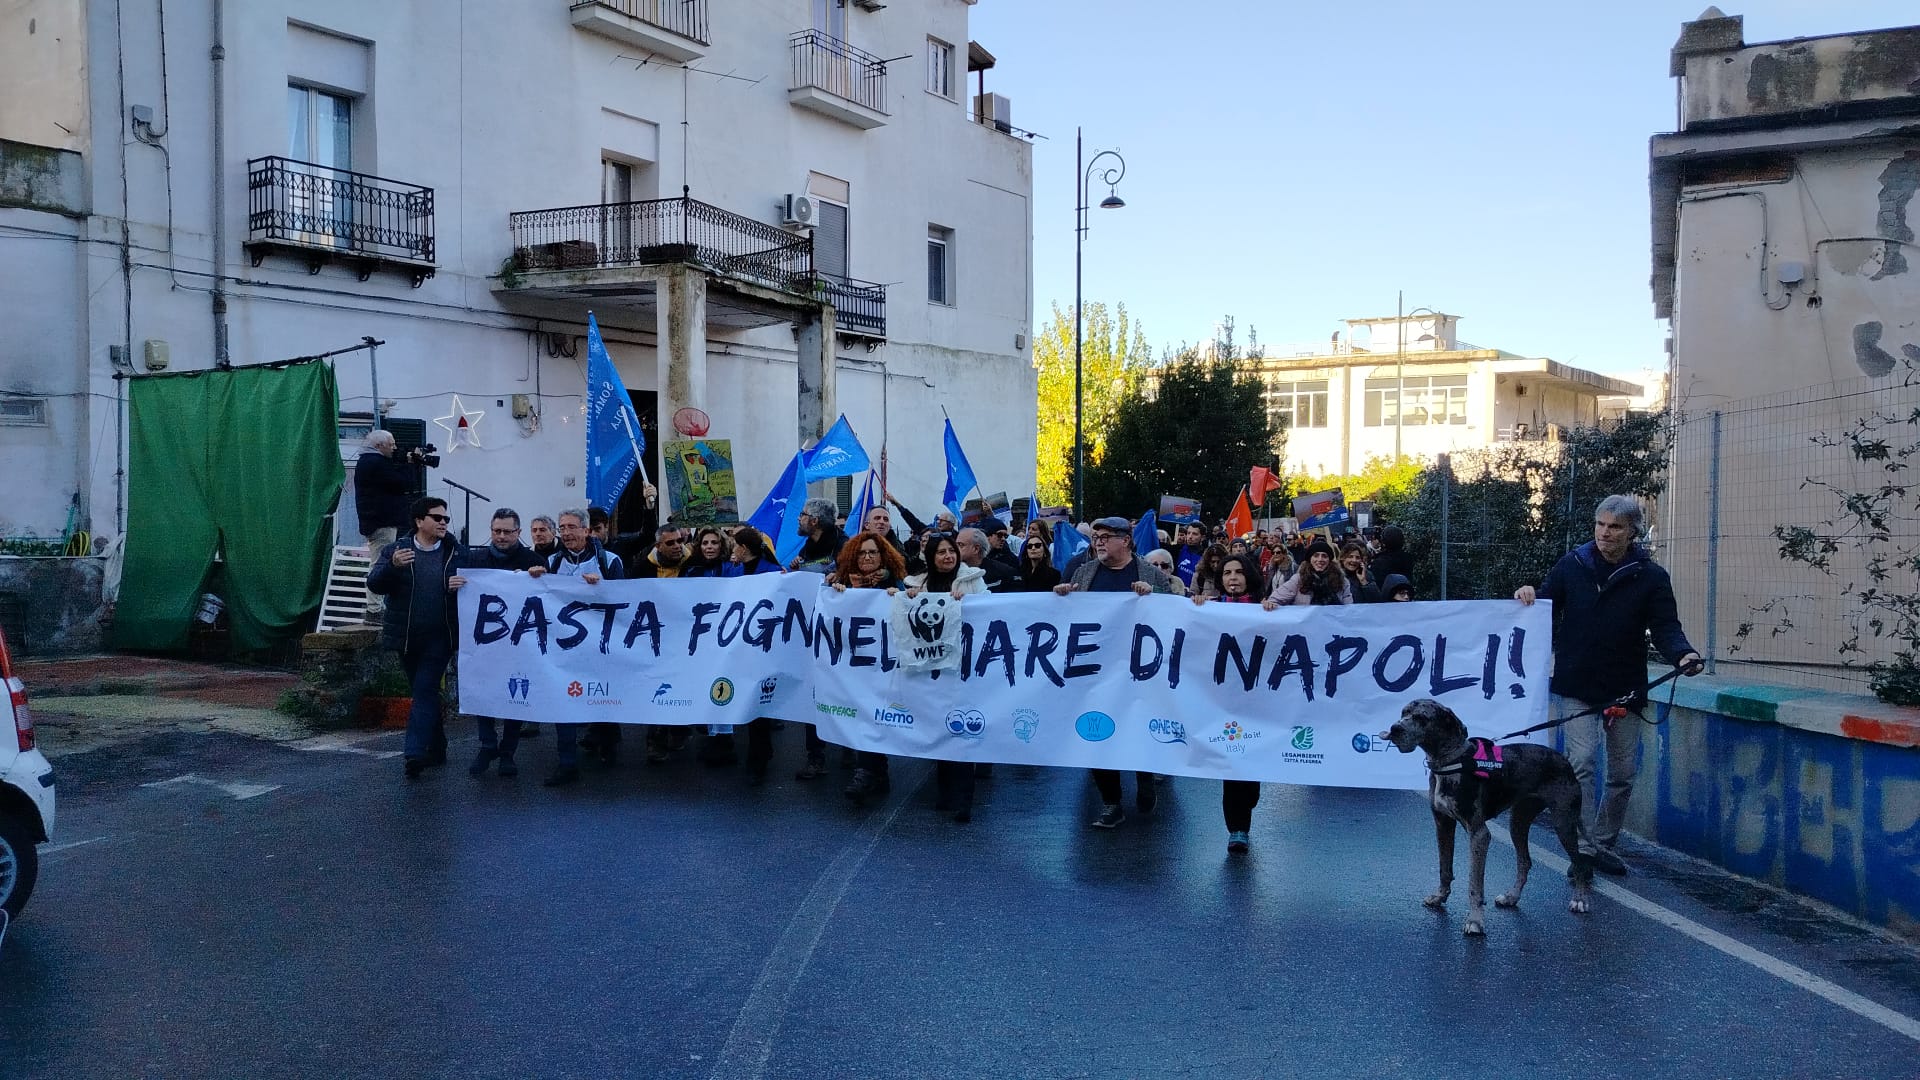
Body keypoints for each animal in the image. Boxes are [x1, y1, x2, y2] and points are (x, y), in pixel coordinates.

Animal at [1374, 699, 1597, 933]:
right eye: (1404, 712)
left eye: (1422, 718)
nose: (1395, 728)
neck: (1450, 761)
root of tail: (1564, 759)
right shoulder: (1443, 823)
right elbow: (1445, 867)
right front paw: (1439, 897)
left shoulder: (1479, 834)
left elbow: (1474, 883)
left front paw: (1475, 920)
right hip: (1518, 822)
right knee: (1524, 861)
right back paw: (1511, 897)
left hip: (1563, 822)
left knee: (1579, 863)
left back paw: (1580, 900)